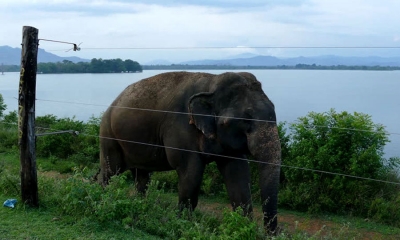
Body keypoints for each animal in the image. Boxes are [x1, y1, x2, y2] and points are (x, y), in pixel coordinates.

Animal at [97, 71, 282, 232]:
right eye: (245, 119)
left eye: (274, 112)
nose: (271, 234)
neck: (212, 83)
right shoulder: (181, 128)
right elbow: (191, 173)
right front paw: (183, 225)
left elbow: (238, 174)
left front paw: (242, 227)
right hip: (108, 135)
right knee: (111, 171)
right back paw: (103, 197)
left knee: (141, 177)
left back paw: (140, 205)